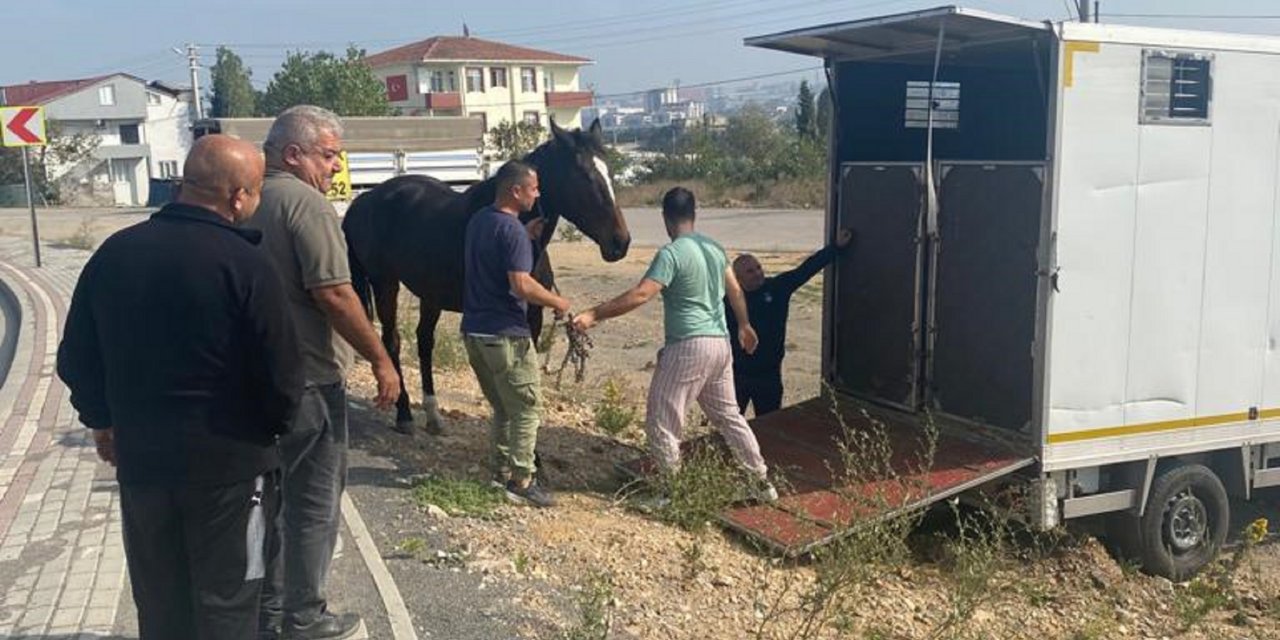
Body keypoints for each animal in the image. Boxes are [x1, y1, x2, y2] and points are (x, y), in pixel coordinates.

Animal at [340, 117, 629, 432]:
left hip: (430, 293)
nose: (621, 242)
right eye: (583, 176)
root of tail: (364, 201)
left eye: (609, 171)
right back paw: (404, 414)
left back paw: (433, 415)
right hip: (385, 283)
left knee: (424, 341)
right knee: (391, 341)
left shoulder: (532, 317)